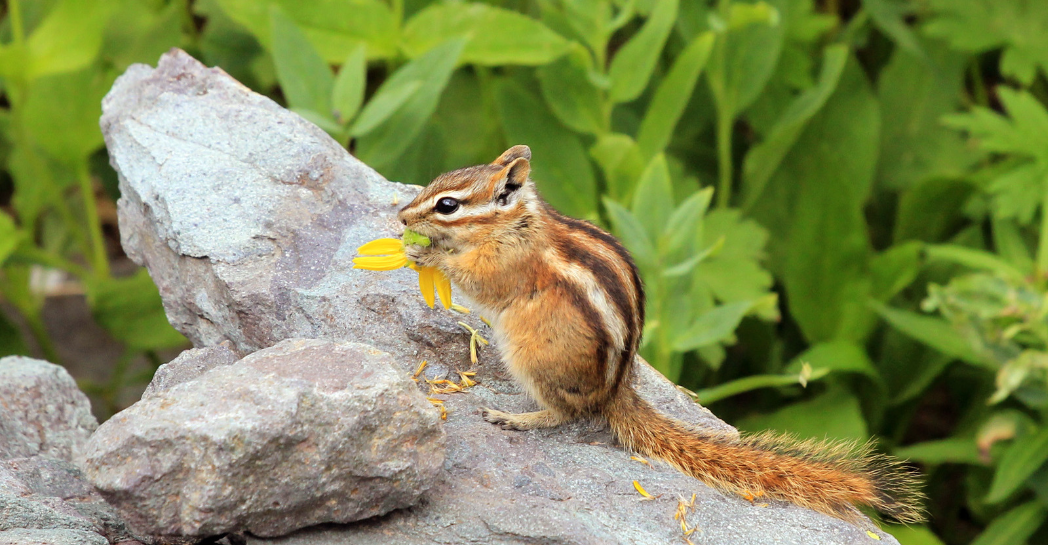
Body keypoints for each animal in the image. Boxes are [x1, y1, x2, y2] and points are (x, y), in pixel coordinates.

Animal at [398, 145, 924, 525]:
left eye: (448, 204)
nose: (402, 217)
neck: (515, 222)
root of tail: (615, 392)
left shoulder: (506, 264)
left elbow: (477, 281)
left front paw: (427, 253)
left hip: (530, 354)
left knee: (567, 413)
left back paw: (516, 417)